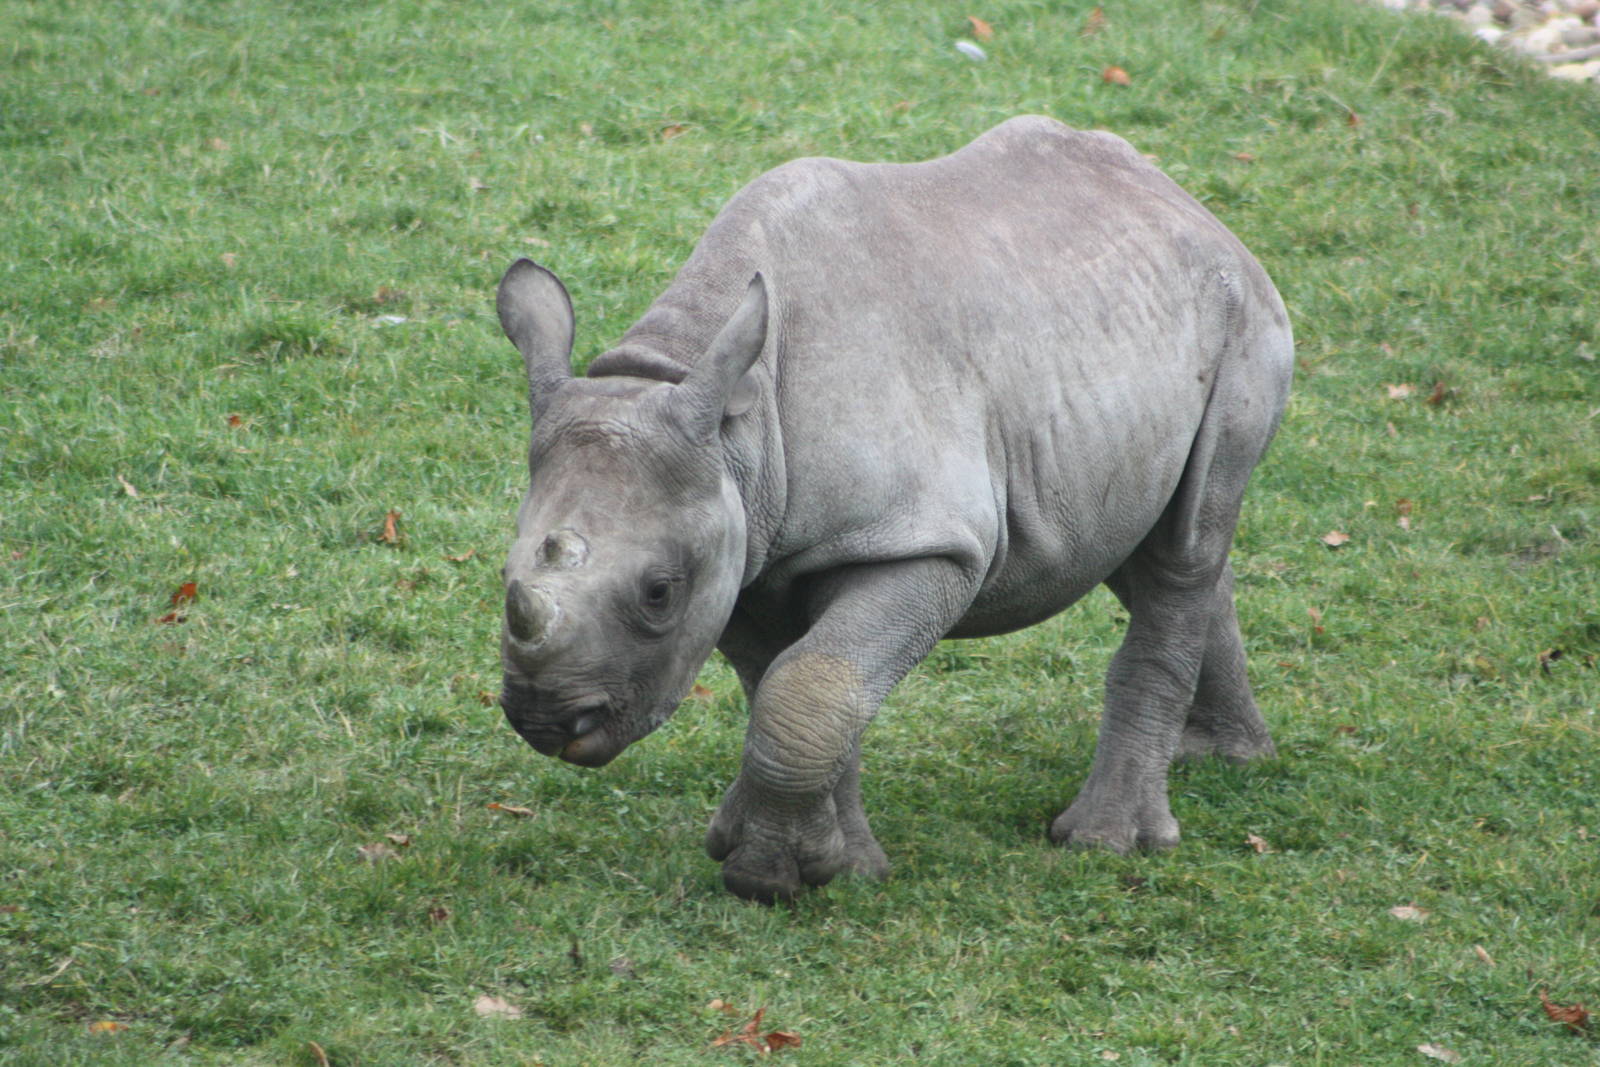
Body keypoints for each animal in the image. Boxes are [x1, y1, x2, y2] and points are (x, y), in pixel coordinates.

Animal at [495, 115, 1293, 902]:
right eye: (504, 572)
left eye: (658, 592)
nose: (545, 722)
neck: (732, 423)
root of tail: (1181, 199)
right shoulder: (743, 544)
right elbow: (797, 686)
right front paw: (836, 865)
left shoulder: (922, 541)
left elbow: (807, 685)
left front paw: (768, 876)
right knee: (1146, 543)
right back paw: (1223, 757)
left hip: (1242, 320)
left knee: (1186, 548)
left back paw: (1107, 840)